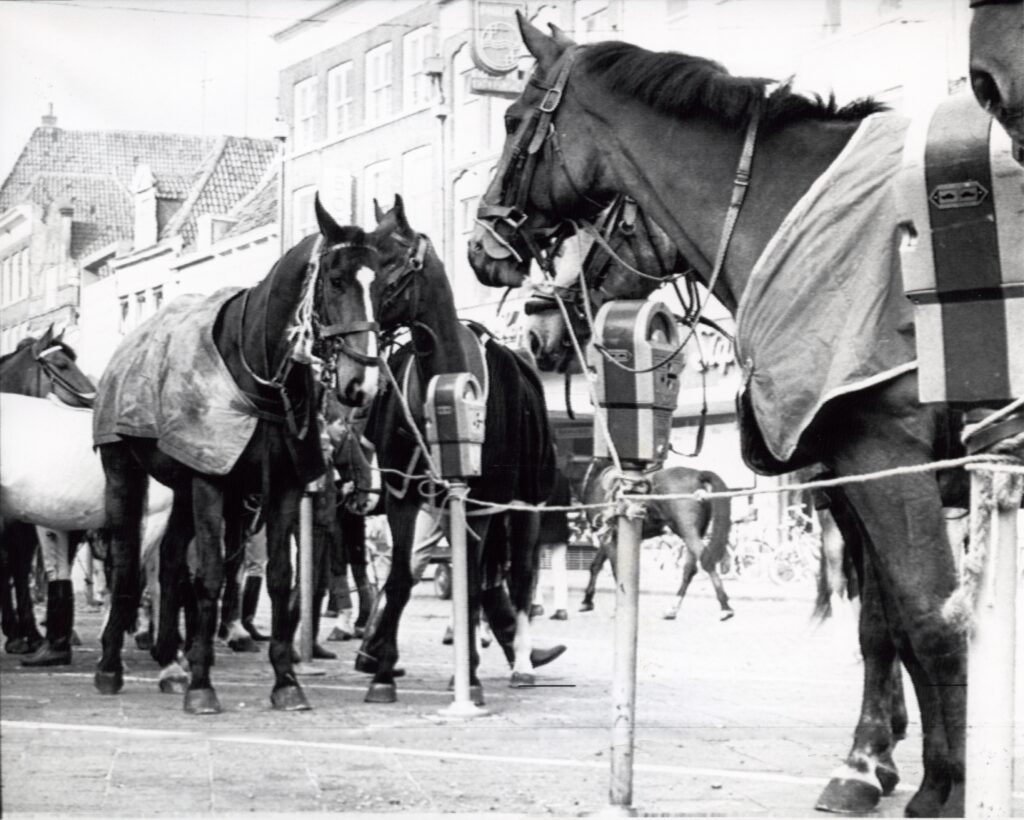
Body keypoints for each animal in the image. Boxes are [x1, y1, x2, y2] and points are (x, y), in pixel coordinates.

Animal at [92, 195, 378, 712]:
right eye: (336, 279)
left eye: (379, 280)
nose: (360, 384)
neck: (258, 374)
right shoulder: (211, 482)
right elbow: (208, 576)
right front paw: (203, 686)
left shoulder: (280, 488)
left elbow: (281, 578)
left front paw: (286, 681)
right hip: (125, 473)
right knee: (127, 562)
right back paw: (111, 666)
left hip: (182, 487)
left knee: (169, 560)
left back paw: (170, 663)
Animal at [348, 195, 561, 700]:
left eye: (391, 261)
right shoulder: (405, 499)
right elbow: (401, 578)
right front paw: (382, 673)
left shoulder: (482, 504)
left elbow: (470, 579)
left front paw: (472, 678)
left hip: (525, 506)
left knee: (519, 578)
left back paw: (522, 662)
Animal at [577, 456, 737, 618]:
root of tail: (698, 474)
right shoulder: (608, 536)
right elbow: (596, 565)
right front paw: (587, 601)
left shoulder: (607, 536)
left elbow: (616, 569)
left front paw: (618, 607)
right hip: (694, 532)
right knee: (690, 569)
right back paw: (673, 608)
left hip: (688, 531)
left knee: (706, 561)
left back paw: (725, 607)